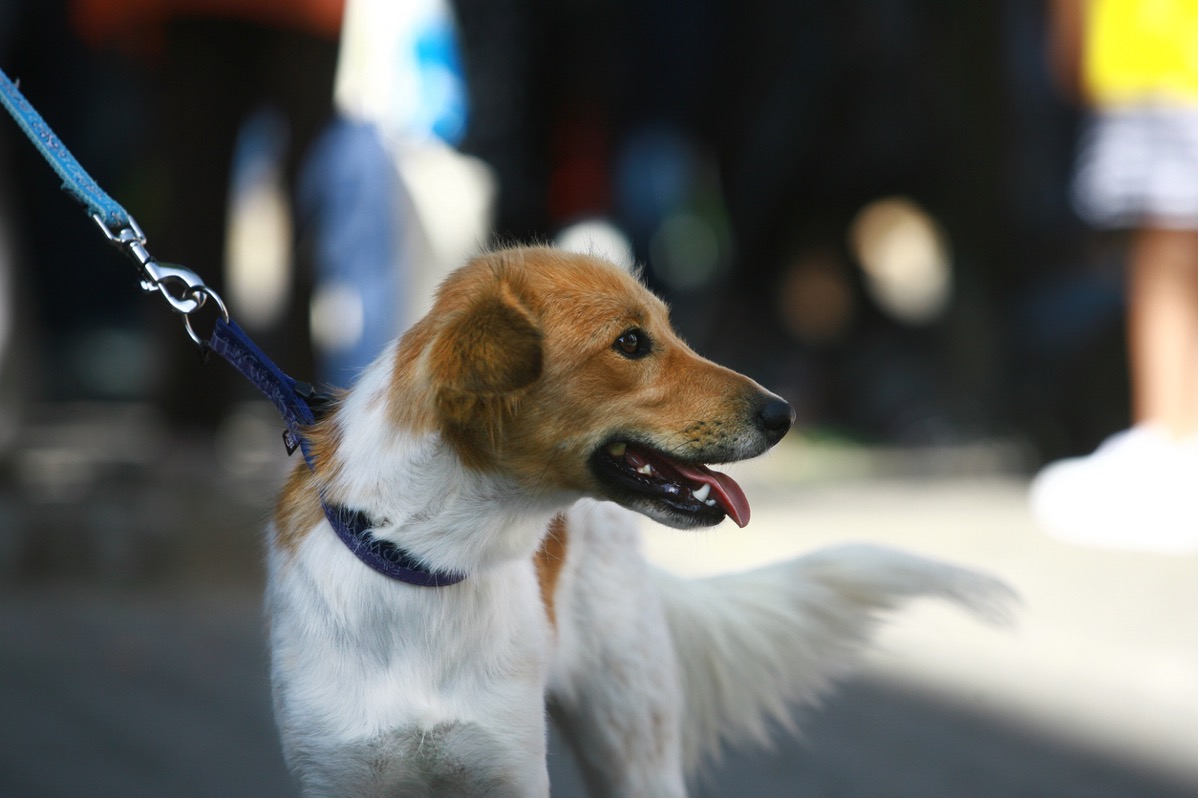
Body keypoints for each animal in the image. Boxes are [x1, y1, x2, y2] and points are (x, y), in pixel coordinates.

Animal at [265, 246, 1014, 792]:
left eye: (668, 330)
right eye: (630, 343)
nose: (785, 413)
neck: (424, 562)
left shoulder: (508, 770)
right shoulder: (337, 773)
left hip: (635, 747)